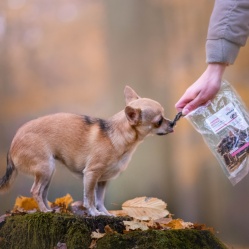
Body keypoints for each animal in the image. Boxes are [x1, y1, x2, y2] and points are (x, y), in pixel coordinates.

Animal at [0, 86, 173, 215]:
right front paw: (94, 213)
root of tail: (13, 142)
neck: (116, 134)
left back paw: (50, 209)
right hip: (45, 168)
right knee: (35, 191)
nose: (172, 123)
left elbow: (100, 199)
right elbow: (89, 198)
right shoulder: (91, 174)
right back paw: (44, 211)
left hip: (48, 172)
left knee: (42, 192)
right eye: (159, 121)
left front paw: (105, 214)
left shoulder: (102, 181)